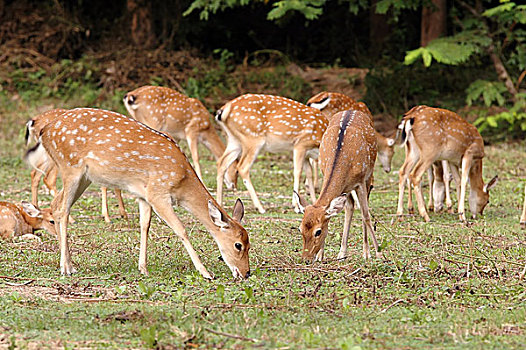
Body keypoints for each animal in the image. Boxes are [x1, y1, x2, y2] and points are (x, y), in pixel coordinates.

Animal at [25, 107, 253, 278]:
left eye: (249, 243)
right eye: (238, 245)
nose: (246, 273)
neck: (182, 179)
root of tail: (45, 131)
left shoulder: (144, 195)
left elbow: (145, 225)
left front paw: (143, 268)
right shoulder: (158, 192)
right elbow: (181, 229)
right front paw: (205, 272)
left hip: (84, 177)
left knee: (56, 205)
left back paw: (69, 263)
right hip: (70, 166)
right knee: (63, 209)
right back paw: (66, 267)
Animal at [292, 110, 384, 262]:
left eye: (318, 231)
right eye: (300, 229)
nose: (306, 259)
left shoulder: (360, 181)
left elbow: (366, 215)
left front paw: (377, 253)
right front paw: (320, 255)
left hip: (369, 174)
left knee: (362, 209)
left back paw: (366, 252)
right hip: (347, 188)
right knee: (349, 207)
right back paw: (342, 253)